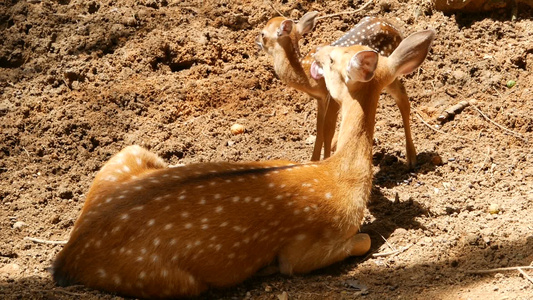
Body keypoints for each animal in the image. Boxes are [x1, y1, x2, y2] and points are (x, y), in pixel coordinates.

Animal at [50, 28, 434, 298]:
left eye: (333, 61)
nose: (318, 51)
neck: (343, 178)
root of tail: (68, 258)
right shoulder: (304, 251)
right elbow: (364, 241)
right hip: (173, 280)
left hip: (126, 154)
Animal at [258, 12, 416, 168]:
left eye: (263, 34)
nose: (256, 40)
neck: (306, 74)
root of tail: (396, 28)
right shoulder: (320, 99)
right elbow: (319, 129)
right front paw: (313, 161)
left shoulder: (331, 94)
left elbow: (328, 129)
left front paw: (325, 160)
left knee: (402, 97)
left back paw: (411, 157)